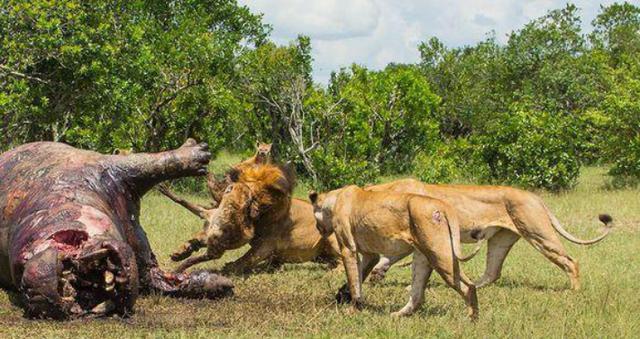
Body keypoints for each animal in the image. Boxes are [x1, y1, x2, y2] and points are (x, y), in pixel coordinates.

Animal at [308, 186, 478, 318]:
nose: (317, 228)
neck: (334, 199)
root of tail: (443, 205)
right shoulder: (371, 255)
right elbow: (360, 275)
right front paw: (342, 295)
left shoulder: (348, 248)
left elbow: (354, 280)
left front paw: (353, 309)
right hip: (423, 256)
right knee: (417, 295)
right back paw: (398, 315)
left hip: (440, 255)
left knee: (468, 286)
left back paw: (472, 319)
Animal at [364, 179, 608, 290]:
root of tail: (535, 197)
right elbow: (389, 257)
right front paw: (377, 274)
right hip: (501, 240)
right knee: (492, 272)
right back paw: (471, 286)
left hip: (537, 232)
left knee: (570, 261)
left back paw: (574, 291)